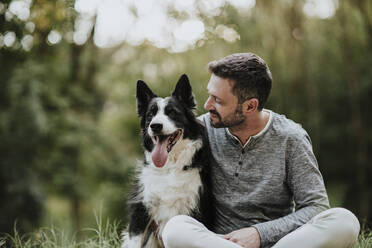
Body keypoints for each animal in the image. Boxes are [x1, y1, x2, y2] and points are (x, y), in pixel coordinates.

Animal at [122, 74, 215, 248]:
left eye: (172, 112)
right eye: (150, 115)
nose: (155, 126)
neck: (169, 168)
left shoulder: (195, 209)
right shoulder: (141, 215)